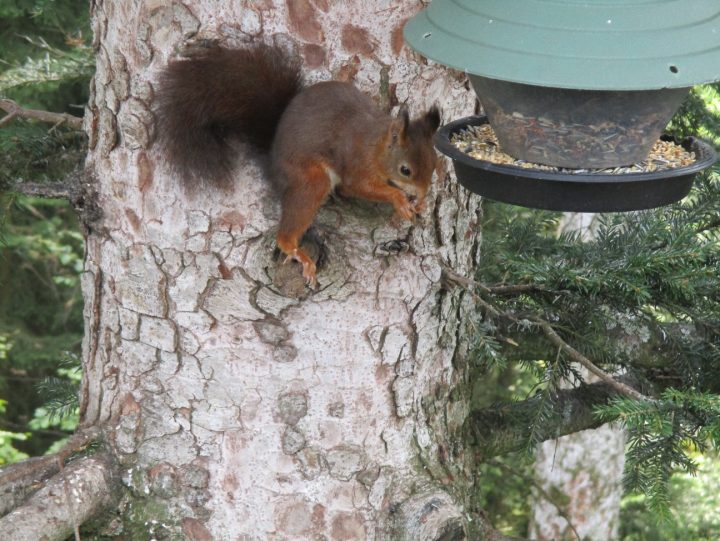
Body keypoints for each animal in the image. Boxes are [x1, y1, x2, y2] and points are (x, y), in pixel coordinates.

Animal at [155, 44, 442, 284]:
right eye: (405, 170)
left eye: (434, 165)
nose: (422, 193)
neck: (376, 146)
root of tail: (272, 158)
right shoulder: (356, 165)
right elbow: (358, 187)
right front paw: (400, 200)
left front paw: (418, 203)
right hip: (311, 180)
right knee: (291, 226)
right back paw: (297, 252)